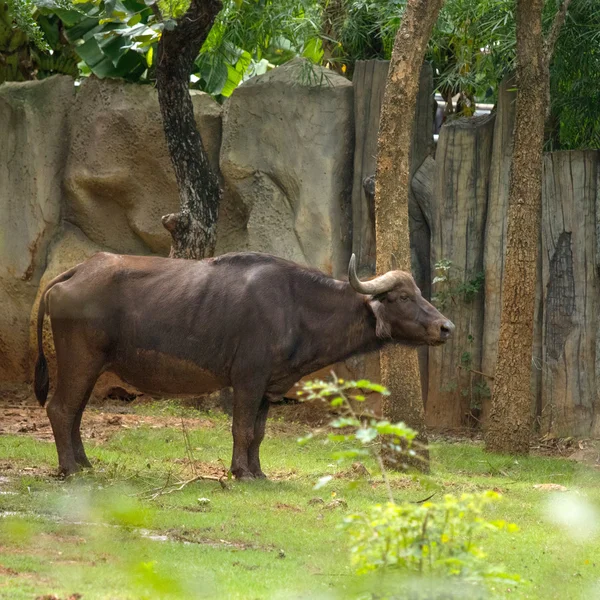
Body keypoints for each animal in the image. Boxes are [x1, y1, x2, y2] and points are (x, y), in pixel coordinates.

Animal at [34, 252, 454, 478]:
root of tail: (77, 271)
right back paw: (69, 469)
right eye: (402, 297)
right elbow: (242, 428)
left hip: (91, 366)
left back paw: (84, 463)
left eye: (419, 293)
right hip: (80, 360)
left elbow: (259, 433)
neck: (296, 307)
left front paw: (258, 471)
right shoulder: (248, 379)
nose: (446, 327)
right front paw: (240, 472)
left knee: (75, 412)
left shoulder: (269, 386)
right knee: (60, 408)